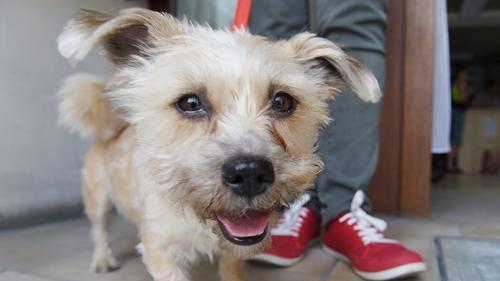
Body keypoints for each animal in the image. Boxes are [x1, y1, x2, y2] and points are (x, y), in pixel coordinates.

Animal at [56, 7, 380, 278]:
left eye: (283, 101)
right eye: (189, 103)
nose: (250, 173)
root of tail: (111, 130)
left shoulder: (233, 253)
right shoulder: (161, 251)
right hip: (97, 200)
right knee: (98, 231)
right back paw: (102, 259)